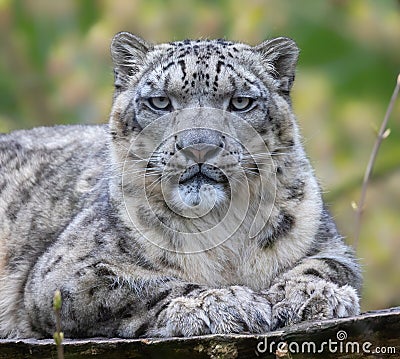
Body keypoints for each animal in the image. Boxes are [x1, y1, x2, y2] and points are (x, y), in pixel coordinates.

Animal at [0, 32, 362, 338]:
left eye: (240, 102)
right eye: (160, 102)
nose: (199, 146)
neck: (223, 231)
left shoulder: (329, 243)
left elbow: (325, 266)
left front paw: (311, 295)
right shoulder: (66, 272)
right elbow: (141, 283)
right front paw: (224, 302)